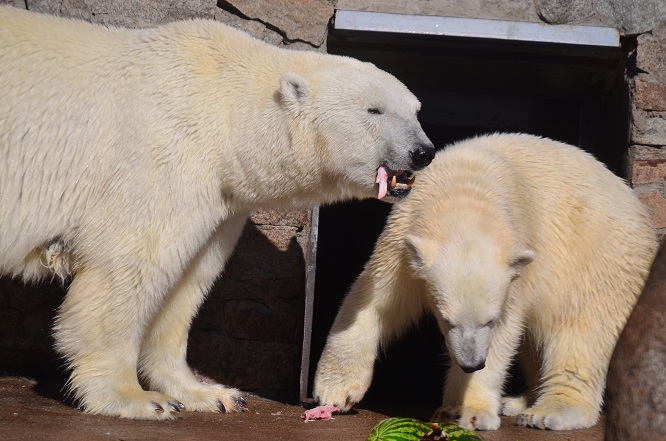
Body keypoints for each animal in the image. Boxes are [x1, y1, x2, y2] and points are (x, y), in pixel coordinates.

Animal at [314, 132, 656, 428]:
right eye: (446, 320)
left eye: (489, 320)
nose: (472, 363)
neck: (465, 193)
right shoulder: (403, 246)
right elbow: (372, 300)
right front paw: (333, 391)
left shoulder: (518, 267)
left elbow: (506, 333)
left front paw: (468, 411)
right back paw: (517, 402)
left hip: (603, 256)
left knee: (582, 329)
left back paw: (548, 412)